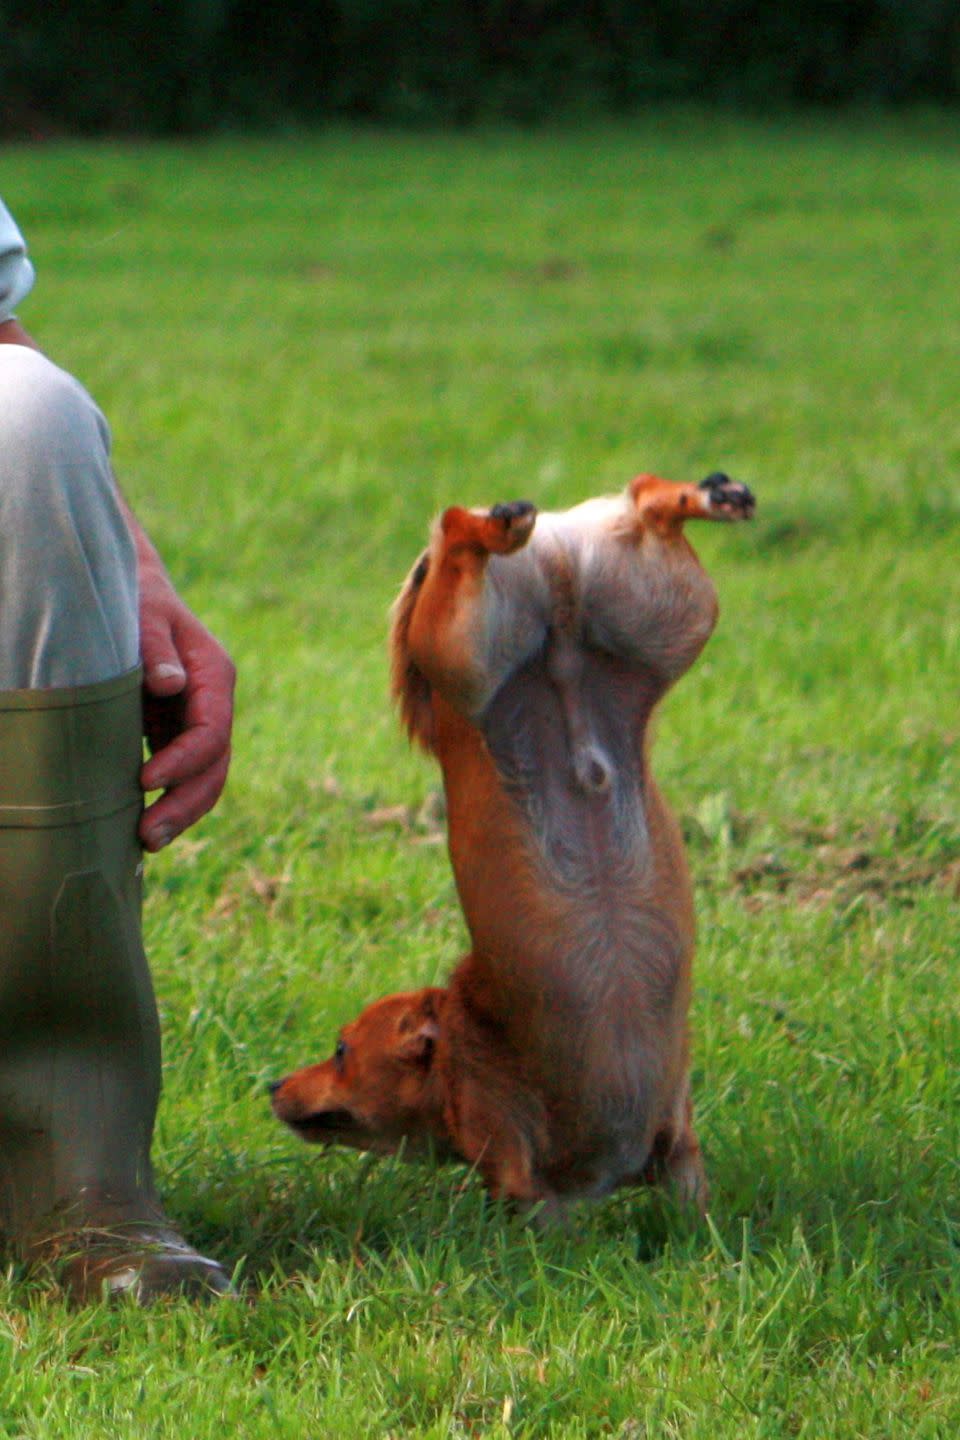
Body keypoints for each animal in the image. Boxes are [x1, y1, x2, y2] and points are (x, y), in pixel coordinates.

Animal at [273, 469, 754, 1215]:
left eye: (342, 1050)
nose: (271, 1085)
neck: (460, 1040)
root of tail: (554, 549)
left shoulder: (519, 1172)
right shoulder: (679, 1152)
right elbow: (690, 1192)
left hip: (459, 648)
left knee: (457, 533)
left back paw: (494, 525)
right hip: (672, 608)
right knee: (650, 503)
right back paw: (705, 495)